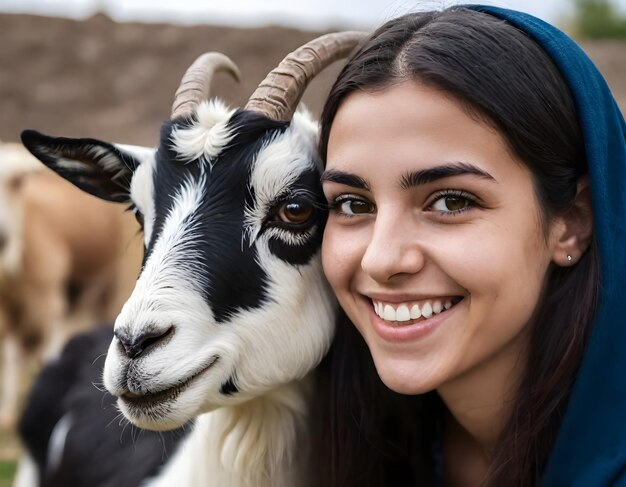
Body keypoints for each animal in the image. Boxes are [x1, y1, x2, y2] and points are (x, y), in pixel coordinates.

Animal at [0, 142, 141, 430]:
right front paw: (6, 414)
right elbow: (13, 356)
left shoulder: (49, 301)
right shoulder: (10, 309)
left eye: (17, 182)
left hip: (104, 287)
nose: (1, 237)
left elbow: (48, 355)